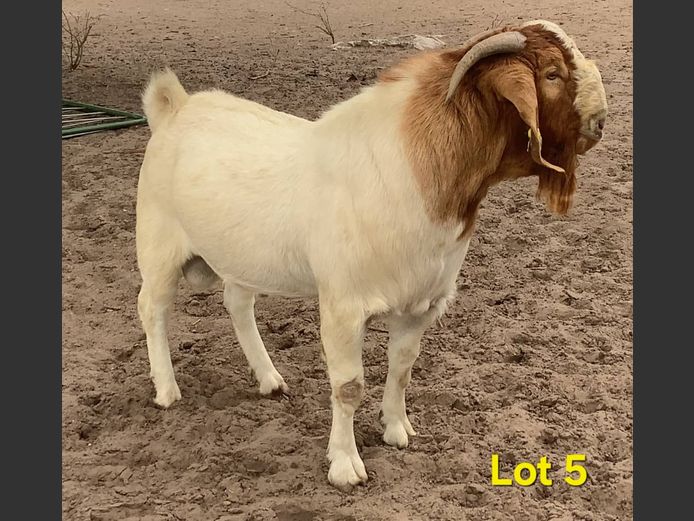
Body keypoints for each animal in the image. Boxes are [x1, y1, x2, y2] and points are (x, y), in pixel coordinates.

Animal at [135, 20, 608, 491]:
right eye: (552, 74)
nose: (600, 121)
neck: (415, 169)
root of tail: (175, 108)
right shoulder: (343, 306)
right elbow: (348, 386)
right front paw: (345, 465)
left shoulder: (420, 304)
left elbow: (402, 367)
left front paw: (397, 429)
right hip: (157, 245)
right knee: (151, 308)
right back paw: (167, 391)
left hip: (240, 255)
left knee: (237, 302)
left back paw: (270, 380)